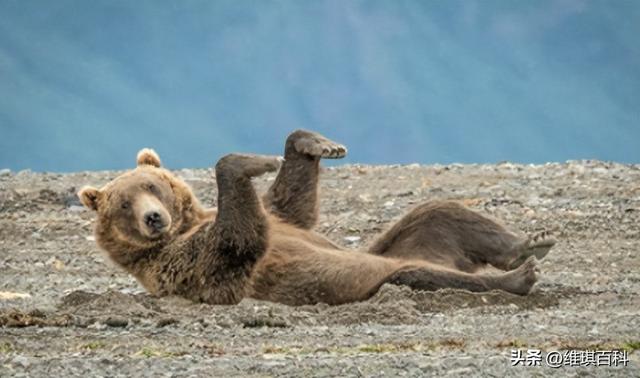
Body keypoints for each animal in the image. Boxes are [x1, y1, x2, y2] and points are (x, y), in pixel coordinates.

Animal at [79, 130, 556, 308]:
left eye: (152, 185)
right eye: (123, 204)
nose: (153, 218)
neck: (186, 225)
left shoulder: (279, 217)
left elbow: (290, 203)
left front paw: (318, 145)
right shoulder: (185, 263)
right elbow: (238, 241)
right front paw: (253, 160)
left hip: (412, 238)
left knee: (439, 212)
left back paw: (530, 244)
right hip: (378, 275)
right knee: (423, 274)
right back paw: (517, 277)